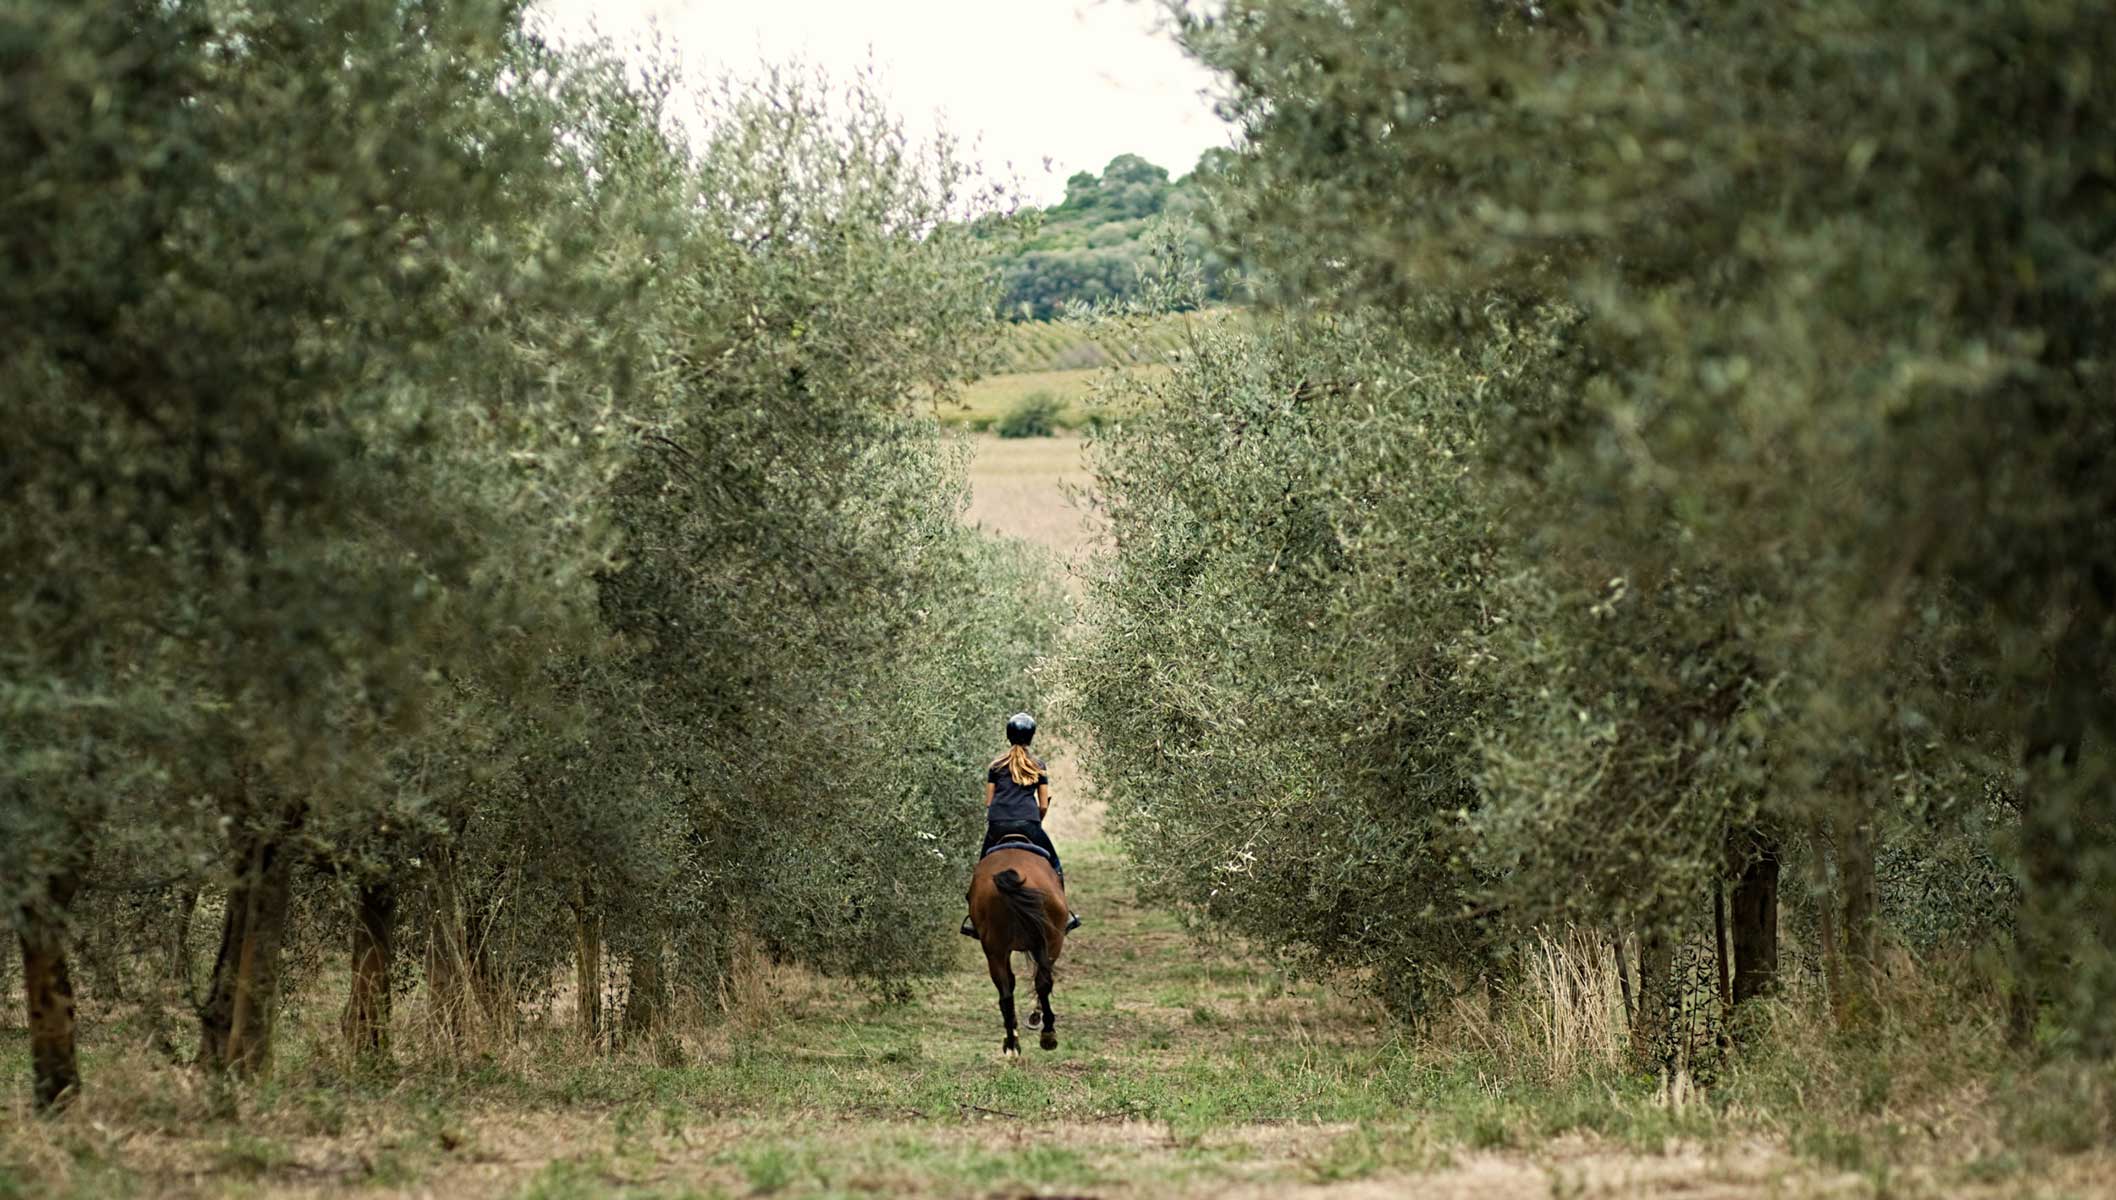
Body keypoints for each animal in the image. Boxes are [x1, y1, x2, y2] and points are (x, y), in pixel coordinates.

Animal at [973, 842, 1074, 1058]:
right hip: (1052, 940)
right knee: (1042, 983)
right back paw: (1047, 1034)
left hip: (995, 949)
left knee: (1006, 994)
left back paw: (1012, 1045)